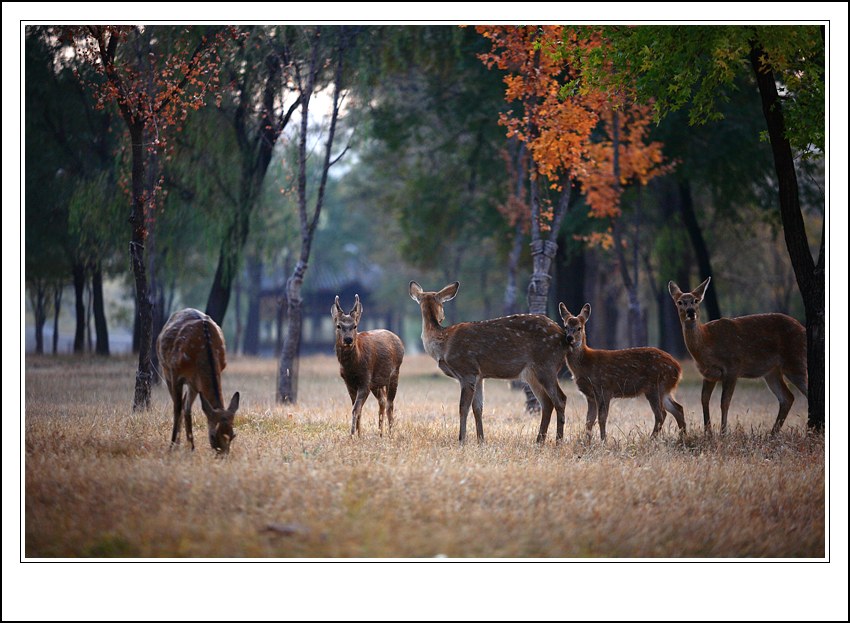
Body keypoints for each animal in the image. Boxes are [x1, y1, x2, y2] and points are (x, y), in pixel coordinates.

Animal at [156, 310, 238, 456]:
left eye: (233, 435)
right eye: (212, 435)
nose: (223, 456)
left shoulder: (196, 381)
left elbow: (187, 409)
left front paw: (191, 448)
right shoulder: (175, 373)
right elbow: (177, 409)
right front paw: (171, 447)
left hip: (192, 383)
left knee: (186, 406)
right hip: (165, 370)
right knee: (179, 405)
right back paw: (176, 444)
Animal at [332, 294, 404, 436]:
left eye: (355, 326)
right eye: (338, 326)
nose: (348, 339)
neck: (353, 367)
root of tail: (399, 341)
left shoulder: (365, 380)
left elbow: (356, 408)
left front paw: (352, 435)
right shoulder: (349, 382)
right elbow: (357, 408)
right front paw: (359, 435)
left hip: (394, 373)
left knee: (390, 404)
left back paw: (390, 434)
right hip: (376, 383)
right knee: (382, 401)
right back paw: (380, 433)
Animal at [408, 280, 568, 446]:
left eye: (442, 305)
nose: (442, 317)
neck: (443, 343)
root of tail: (563, 336)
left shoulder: (467, 370)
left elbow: (463, 407)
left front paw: (462, 440)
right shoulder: (479, 376)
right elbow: (478, 408)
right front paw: (481, 440)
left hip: (547, 364)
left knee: (560, 399)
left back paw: (558, 441)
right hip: (532, 373)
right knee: (547, 402)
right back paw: (539, 441)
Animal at [560, 302, 684, 444]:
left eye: (579, 328)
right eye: (566, 326)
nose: (569, 338)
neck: (586, 364)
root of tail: (678, 369)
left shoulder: (604, 388)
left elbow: (602, 417)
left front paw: (603, 441)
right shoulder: (590, 395)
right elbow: (589, 420)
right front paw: (587, 442)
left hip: (655, 386)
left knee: (661, 414)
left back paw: (650, 439)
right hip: (664, 389)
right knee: (678, 409)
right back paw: (682, 437)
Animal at [664, 278, 804, 434]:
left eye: (696, 300)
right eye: (680, 302)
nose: (690, 312)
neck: (707, 343)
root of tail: (802, 328)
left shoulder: (732, 367)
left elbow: (724, 401)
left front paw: (723, 432)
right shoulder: (708, 374)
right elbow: (704, 399)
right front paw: (708, 432)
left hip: (795, 360)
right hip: (772, 372)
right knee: (787, 397)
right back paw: (772, 433)